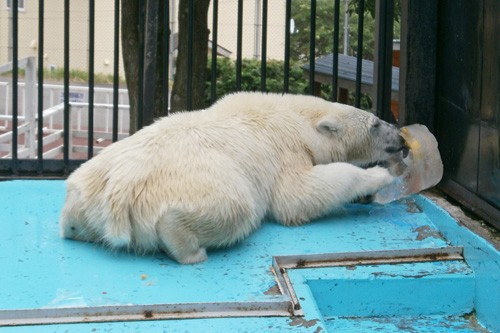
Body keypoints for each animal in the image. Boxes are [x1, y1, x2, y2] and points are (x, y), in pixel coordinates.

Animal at [60, 92, 406, 264]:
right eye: (376, 124)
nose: (401, 137)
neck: (295, 115)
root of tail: (118, 192)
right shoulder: (284, 149)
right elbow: (296, 197)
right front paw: (378, 176)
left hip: (84, 188)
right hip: (197, 183)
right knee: (234, 210)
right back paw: (190, 250)